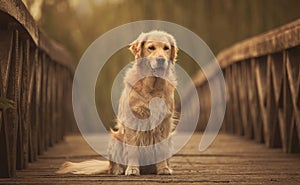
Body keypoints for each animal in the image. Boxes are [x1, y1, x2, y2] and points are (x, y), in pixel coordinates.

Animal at [56, 30, 178, 175]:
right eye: (151, 47)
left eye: (166, 48)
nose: (161, 60)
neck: (152, 88)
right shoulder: (132, 120)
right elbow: (133, 150)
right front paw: (132, 169)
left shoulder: (165, 122)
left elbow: (161, 149)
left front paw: (163, 168)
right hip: (115, 138)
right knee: (114, 166)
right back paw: (119, 170)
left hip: (170, 139)